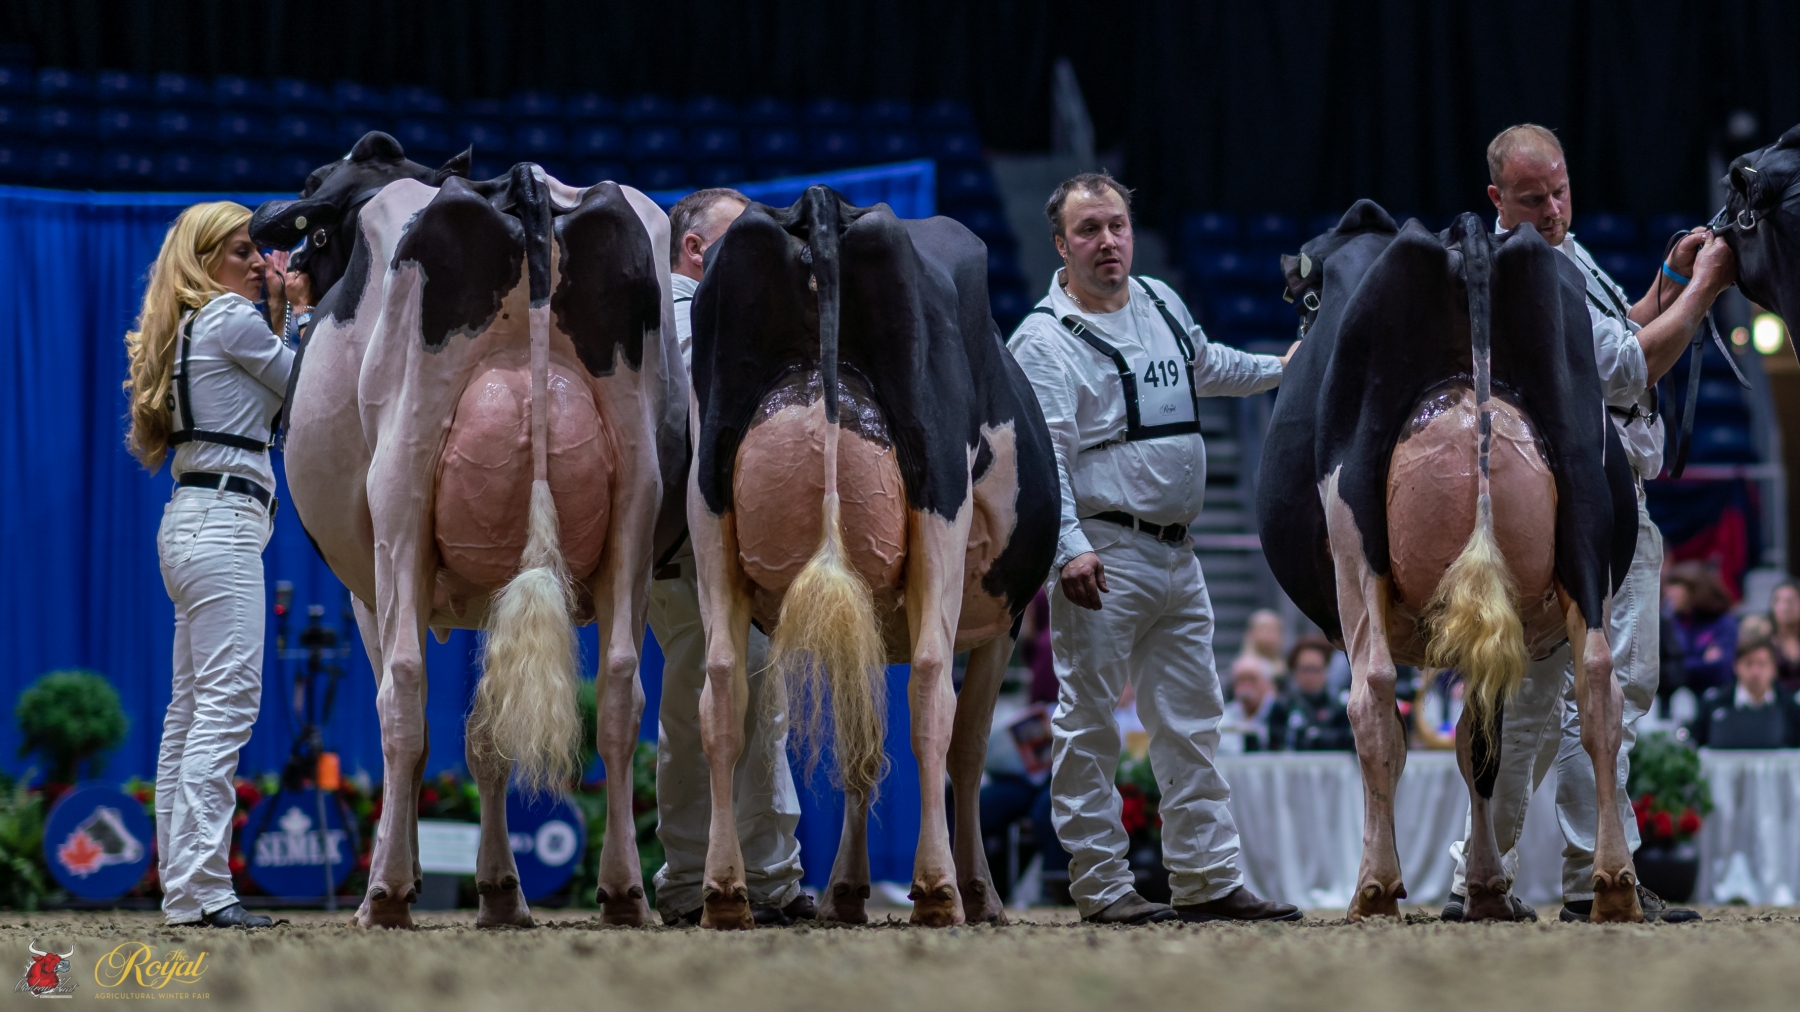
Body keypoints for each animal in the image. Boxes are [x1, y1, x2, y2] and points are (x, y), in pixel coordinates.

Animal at [250, 142, 684, 928]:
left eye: (317, 225)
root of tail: (522, 187)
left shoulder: (369, 592)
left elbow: (430, 729)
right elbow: (489, 735)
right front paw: (501, 890)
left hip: (401, 489)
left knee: (403, 690)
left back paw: (383, 894)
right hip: (637, 500)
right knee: (620, 689)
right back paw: (624, 892)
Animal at [685, 186, 1059, 928]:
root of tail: (822, 204)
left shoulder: (862, 620)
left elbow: (861, 746)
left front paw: (845, 889)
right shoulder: (1003, 621)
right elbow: (968, 747)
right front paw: (980, 890)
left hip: (708, 503)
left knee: (720, 691)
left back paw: (725, 891)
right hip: (941, 503)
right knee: (932, 690)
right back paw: (940, 889)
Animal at [1257, 203, 1644, 922]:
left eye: (1305, 304)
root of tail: (1463, 241)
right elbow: (1478, 743)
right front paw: (1489, 888)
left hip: (1354, 535)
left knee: (1373, 696)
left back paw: (1374, 887)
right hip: (1587, 515)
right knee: (1599, 685)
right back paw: (1614, 884)